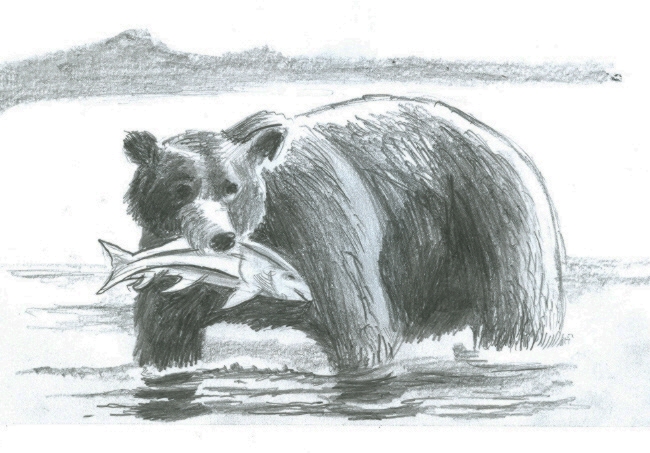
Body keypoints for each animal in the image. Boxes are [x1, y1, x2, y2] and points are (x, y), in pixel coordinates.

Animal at [122, 95, 565, 372]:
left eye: (231, 187)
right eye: (181, 189)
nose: (220, 239)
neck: (267, 227)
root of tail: (505, 144)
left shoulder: (321, 226)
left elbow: (361, 327)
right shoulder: (168, 268)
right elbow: (164, 334)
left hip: (496, 222)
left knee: (521, 316)